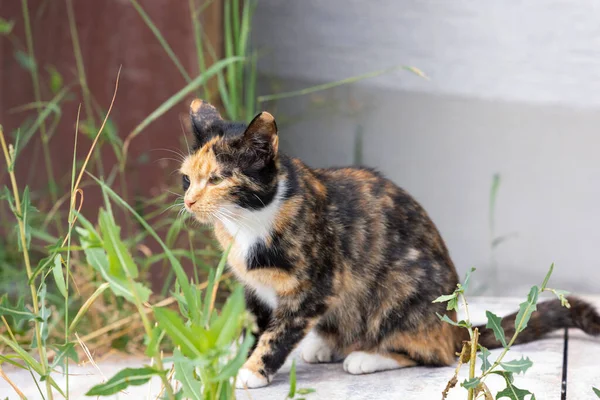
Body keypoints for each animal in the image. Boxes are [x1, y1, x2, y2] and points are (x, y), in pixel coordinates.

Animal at [180, 98, 600, 390]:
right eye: (187, 178)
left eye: (217, 179)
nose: (188, 201)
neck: (249, 222)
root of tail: (453, 327)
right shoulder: (254, 290)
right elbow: (253, 330)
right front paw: (236, 362)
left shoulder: (314, 287)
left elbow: (278, 334)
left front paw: (251, 371)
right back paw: (329, 346)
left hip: (401, 284)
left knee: (434, 353)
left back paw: (367, 356)